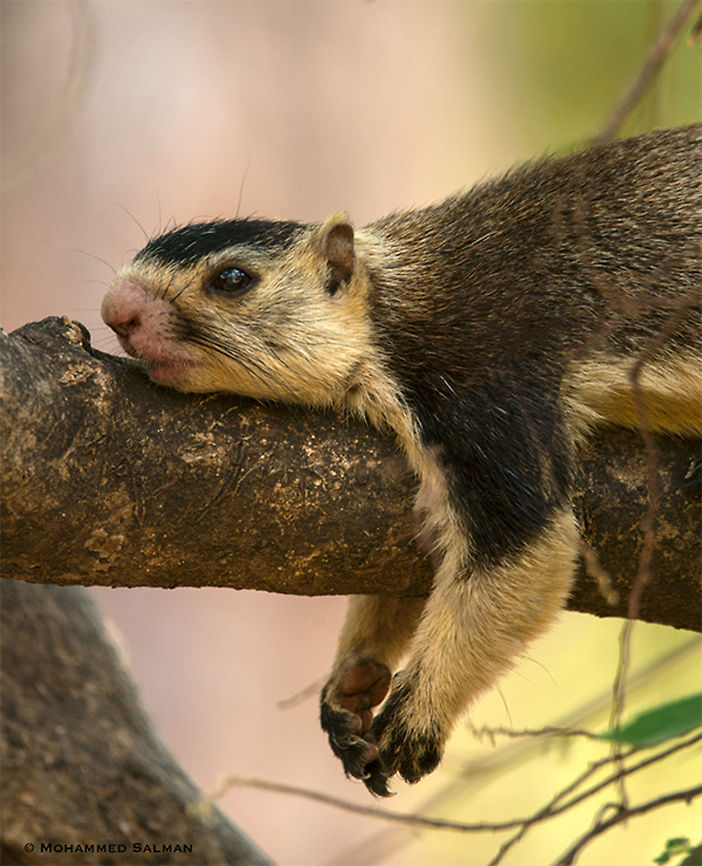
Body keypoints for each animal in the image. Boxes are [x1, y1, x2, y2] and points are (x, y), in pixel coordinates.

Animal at [102, 125, 702, 796]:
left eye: (233, 278)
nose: (114, 310)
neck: (395, 306)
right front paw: (349, 689)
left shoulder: (489, 399)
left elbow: (529, 550)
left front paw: (413, 722)